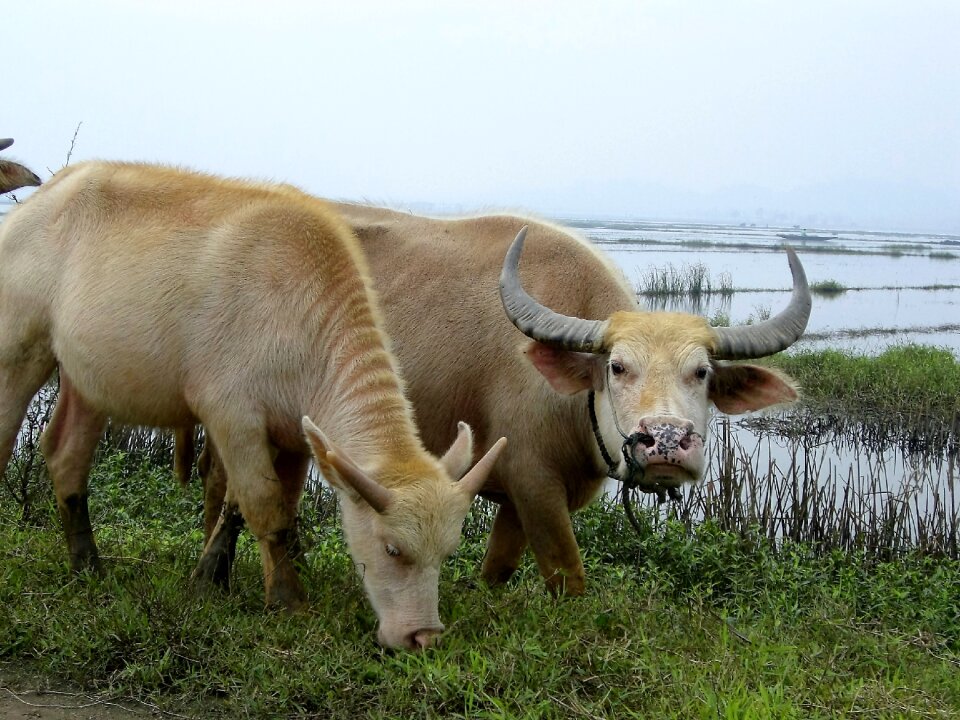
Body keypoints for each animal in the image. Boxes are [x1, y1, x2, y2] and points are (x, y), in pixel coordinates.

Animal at [0, 165, 506, 652]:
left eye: (446, 553)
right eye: (393, 550)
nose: (422, 637)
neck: (300, 315)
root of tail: (44, 199)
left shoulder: (285, 429)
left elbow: (239, 505)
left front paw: (212, 579)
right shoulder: (232, 417)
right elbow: (265, 506)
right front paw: (286, 599)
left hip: (89, 378)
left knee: (67, 457)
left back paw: (87, 564)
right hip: (20, 349)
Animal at [186, 204, 808, 596]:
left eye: (701, 373)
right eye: (617, 367)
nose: (667, 442)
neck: (569, 399)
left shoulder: (518, 496)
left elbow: (500, 570)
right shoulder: (536, 484)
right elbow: (566, 575)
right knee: (237, 492)